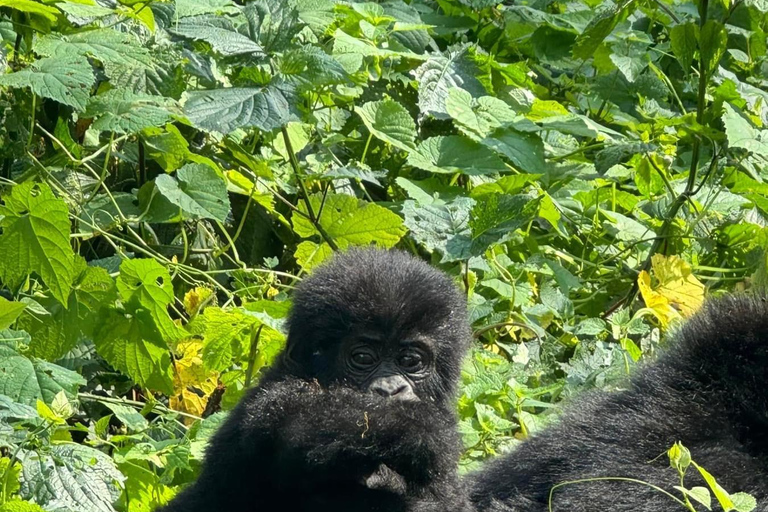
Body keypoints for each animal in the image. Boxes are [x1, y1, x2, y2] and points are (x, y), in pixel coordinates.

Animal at [159, 250, 474, 512]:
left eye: (410, 361)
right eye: (363, 357)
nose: (391, 389)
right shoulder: (271, 406)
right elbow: (305, 425)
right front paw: (422, 430)